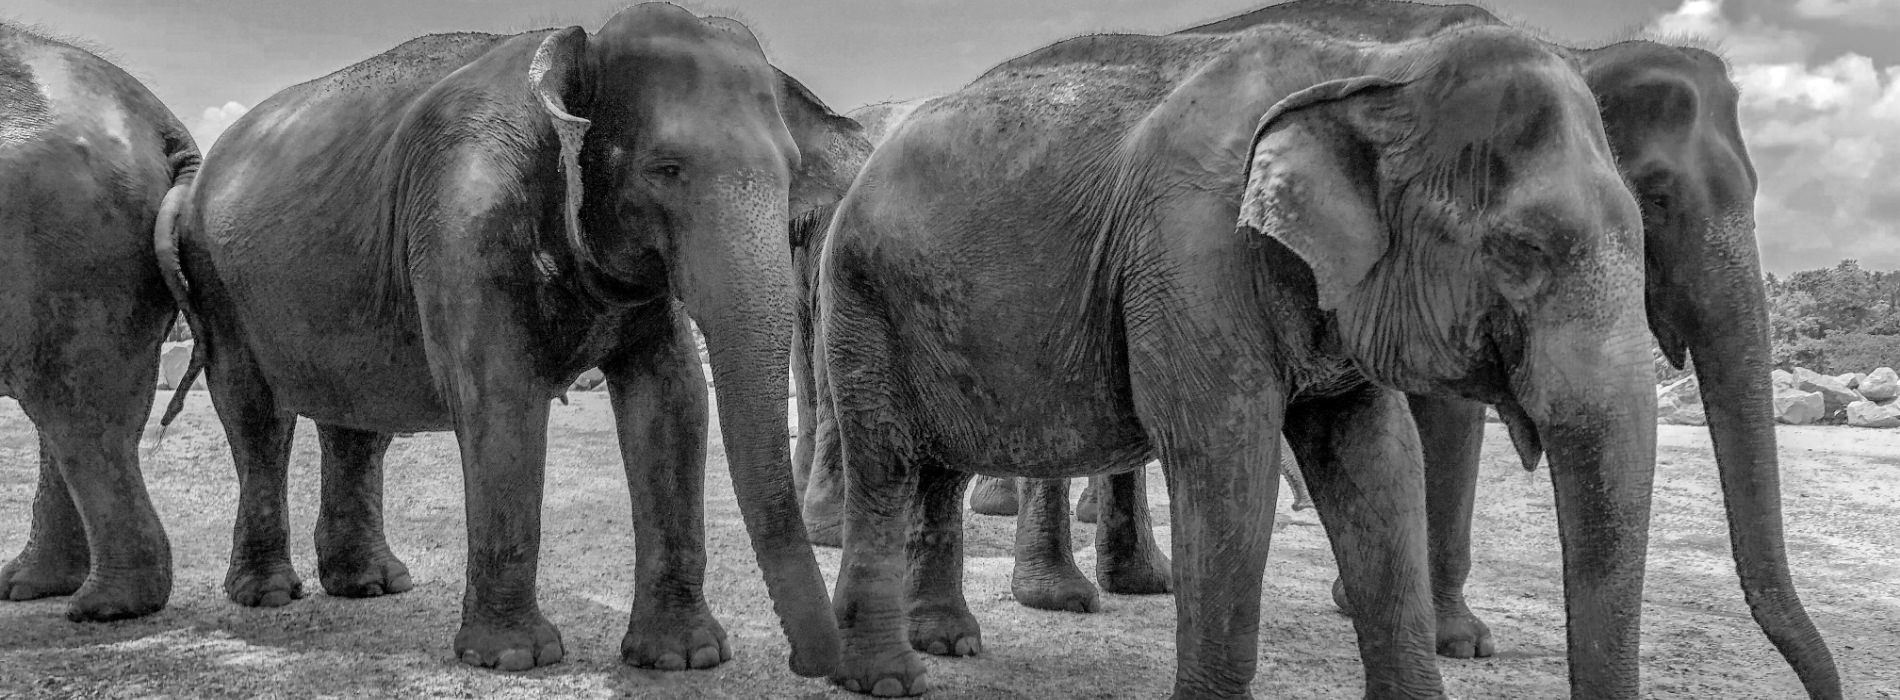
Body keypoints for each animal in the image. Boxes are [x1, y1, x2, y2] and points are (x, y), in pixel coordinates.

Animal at [0, 24, 200, 621]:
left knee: (81, 421)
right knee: (71, 415)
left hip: (76, 253)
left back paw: (102, 607)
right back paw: (30, 586)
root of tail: (163, 125)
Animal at [155, 4, 867, 674]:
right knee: (257, 418)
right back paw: (270, 594)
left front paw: (682, 658)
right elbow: (501, 398)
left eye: (792, 171)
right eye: (666, 168)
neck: (580, 49)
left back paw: (373, 585)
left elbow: (672, 399)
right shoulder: (465, 220)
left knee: (356, 422)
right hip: (217, 283)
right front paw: (516, 657)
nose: (813, 665)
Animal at [796, 3, 1842, 697]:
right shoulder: (1190, 250)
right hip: (858, 291)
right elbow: (1230, 465)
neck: (1373, 70)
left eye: (1643, 222)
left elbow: (1373, 461)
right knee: (890, 462)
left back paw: (949, 645)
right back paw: (887, 676)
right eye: (1521, 251)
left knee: (936, 462)